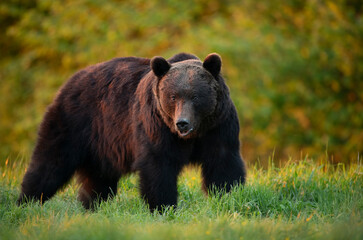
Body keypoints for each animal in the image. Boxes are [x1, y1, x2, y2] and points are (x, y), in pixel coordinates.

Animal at [19, 52, 247, 210]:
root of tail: (71, 80)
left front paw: (228, 196)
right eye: (173, 96)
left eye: (196, 96)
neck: (194, 134)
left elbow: (223, 163)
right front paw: (162, 206)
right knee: (51, 163)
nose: (182, 123)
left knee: (98, 179)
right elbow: (158, 165)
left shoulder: (218, 126)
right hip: (75, 122)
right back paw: (27, 201)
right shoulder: (157, 125)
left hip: (101, 145)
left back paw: (92, 205)